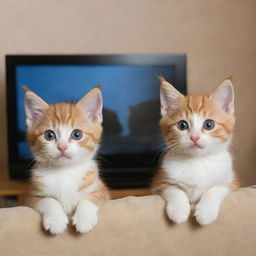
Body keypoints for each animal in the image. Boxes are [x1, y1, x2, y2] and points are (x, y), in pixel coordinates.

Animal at [24, 86, 110, 234]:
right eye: (49, 135)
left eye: (77, 134)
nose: (62, 147)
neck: (65, 171)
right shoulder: (30, 196)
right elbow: (48, 201)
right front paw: (56, 220)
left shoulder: (102, 190)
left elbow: (90, 198)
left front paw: (84, 219)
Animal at [152, 77, 238, 225]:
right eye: (182, 125)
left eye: (209, 124)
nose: (194, 137)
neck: (197, 161)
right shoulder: (159, 183)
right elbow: (173, 189)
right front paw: (179, 210)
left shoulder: (231, 182)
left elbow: (216, 189)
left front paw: (206, 212)